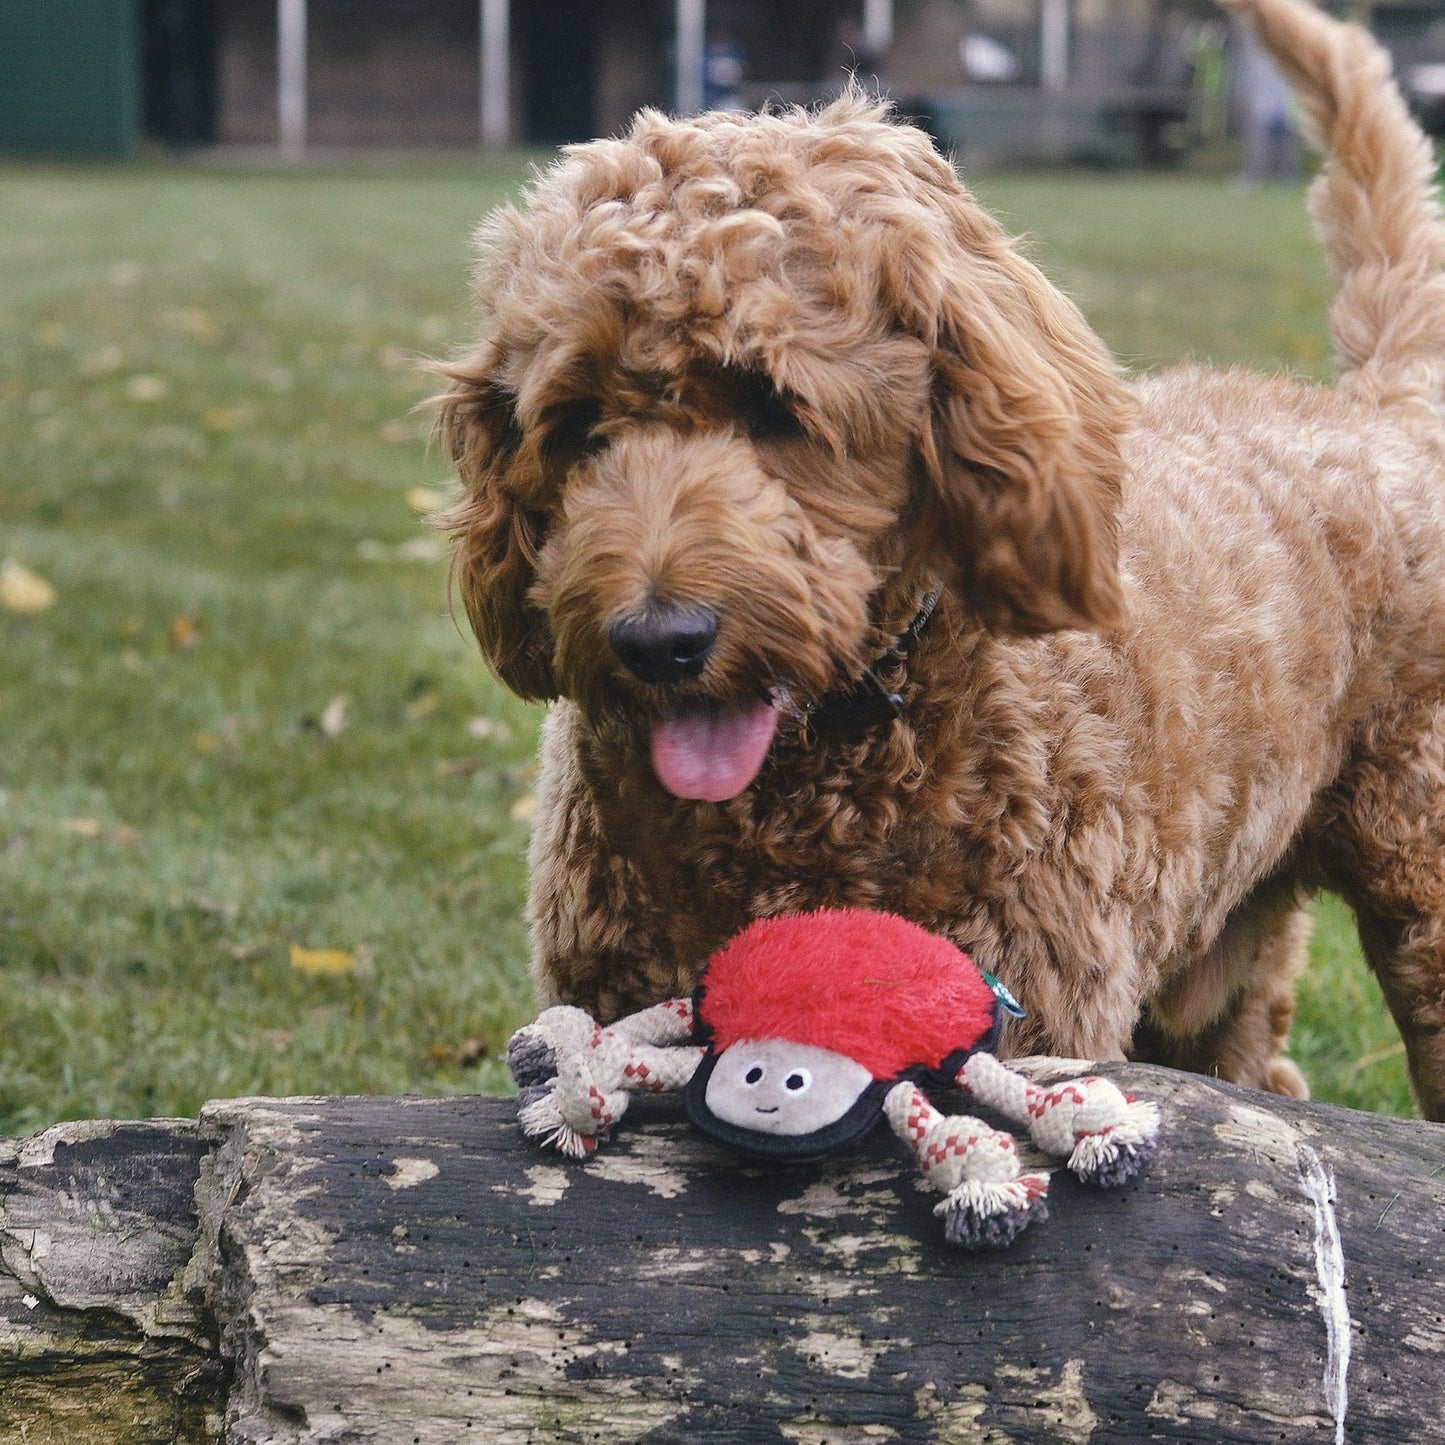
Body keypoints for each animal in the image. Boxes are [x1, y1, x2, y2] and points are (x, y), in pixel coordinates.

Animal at [439, 0, 1445, 1115]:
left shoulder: (1029, 1004)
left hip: (1418, 880)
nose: (657, 641)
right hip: (1222, 941)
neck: (814, 783)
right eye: (576, 426)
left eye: (773, 405)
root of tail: (1376, 411)